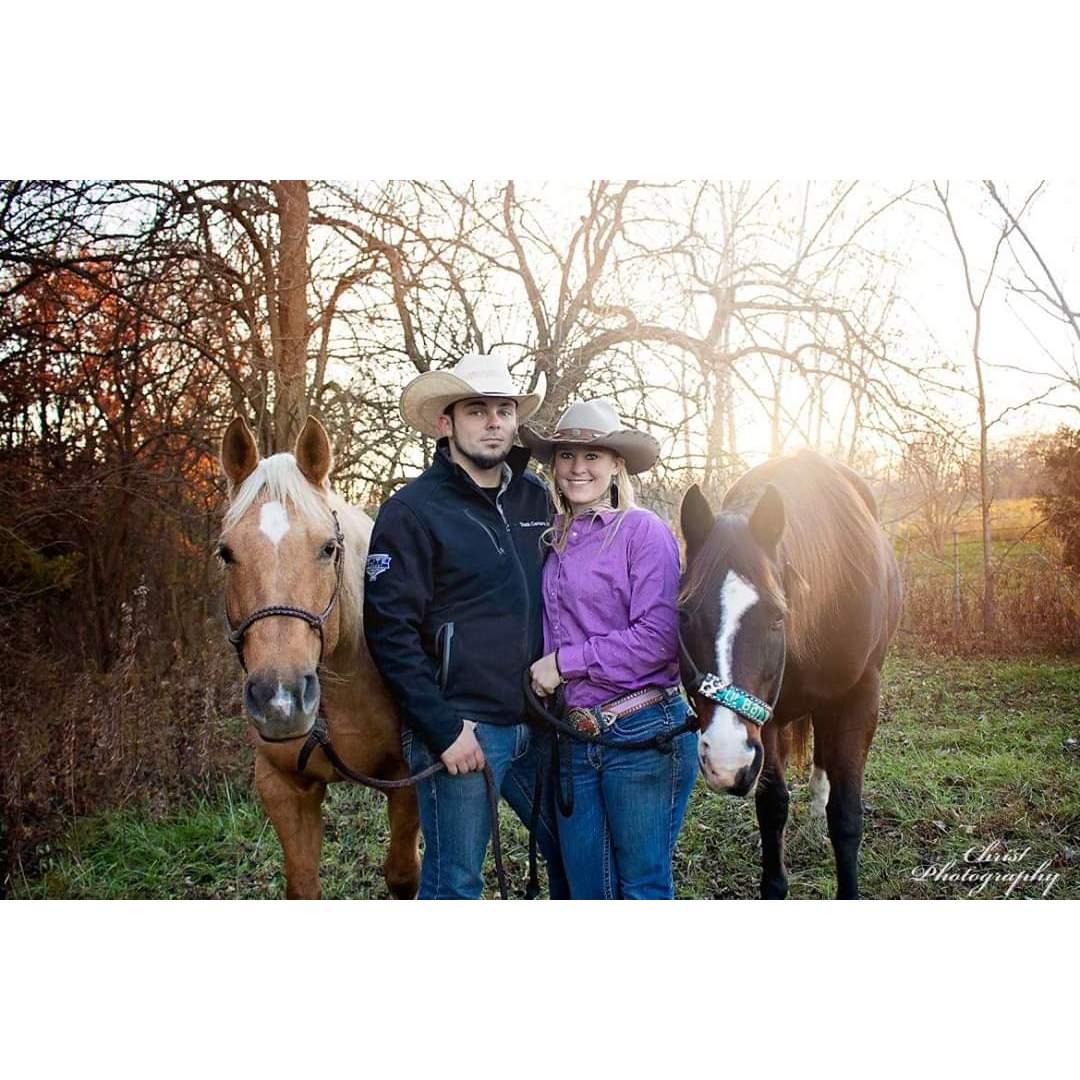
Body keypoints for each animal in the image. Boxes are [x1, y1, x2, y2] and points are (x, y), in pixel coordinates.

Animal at [218, 415, 421, 899]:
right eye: (226, 553)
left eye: (328, 548)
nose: (281, 700)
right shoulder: (283, 788)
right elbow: (303, 885)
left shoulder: (408, 781)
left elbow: (403, 875)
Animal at [679, 450, 902, 899]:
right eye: (685, 615)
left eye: (777, 617)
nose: (726, 761)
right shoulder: (767, 721)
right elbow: (772, 809)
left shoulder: (859, 699)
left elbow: (846, 816)